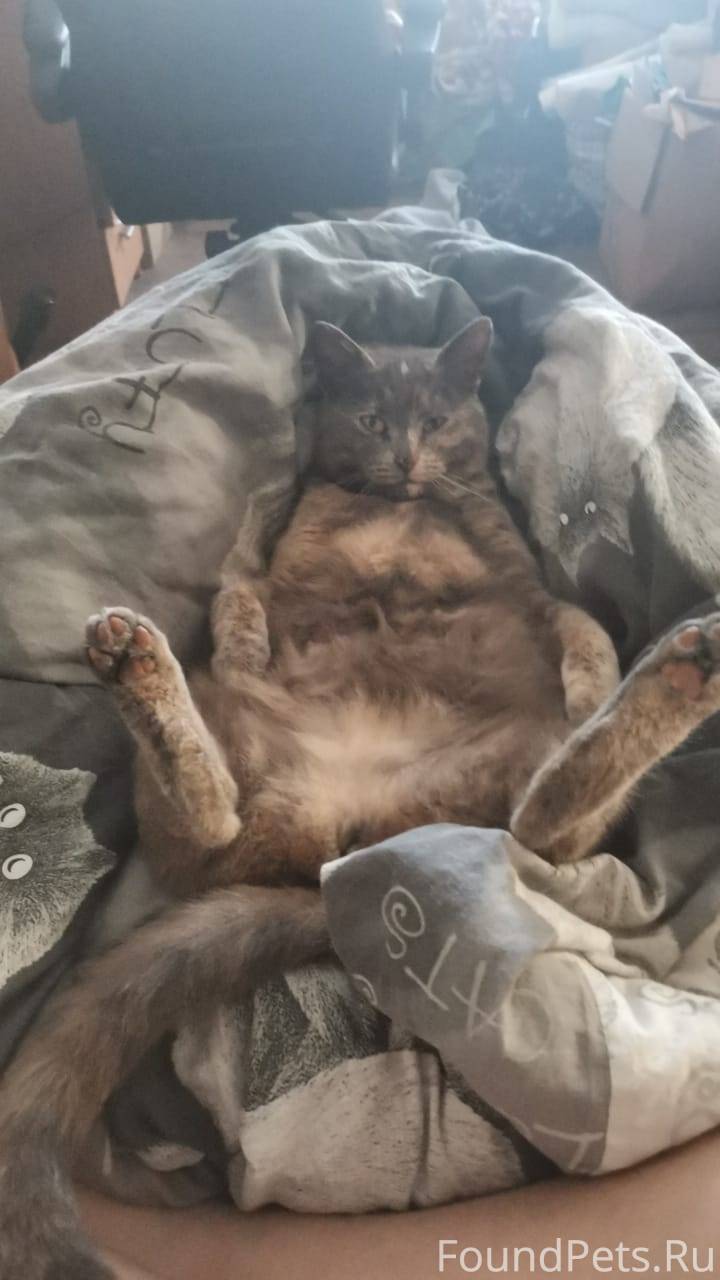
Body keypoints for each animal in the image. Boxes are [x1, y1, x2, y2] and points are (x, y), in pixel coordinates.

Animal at [2, 316, 720, 1280]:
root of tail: (344, 847)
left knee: (544, 817)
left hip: (507, 779)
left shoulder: (533, 587)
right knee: (214, 813)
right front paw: (248, 648)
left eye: (438, 417)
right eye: (374, 419)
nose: (410, 456)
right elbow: (238, 595)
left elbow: (586, 627)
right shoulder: (267, 572)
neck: (401, 510)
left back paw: (675, 675)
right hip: (235, 756)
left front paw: (590, 680)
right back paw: (137, 663)